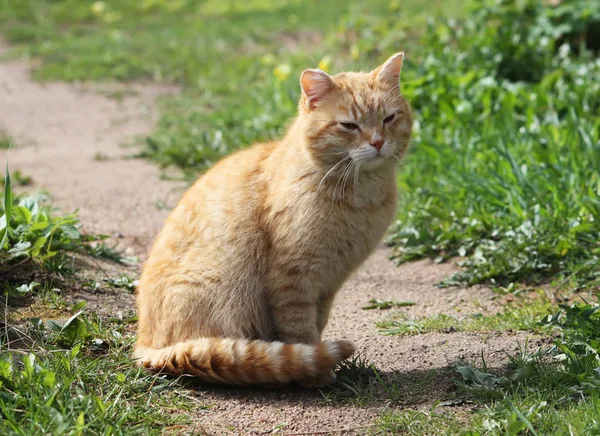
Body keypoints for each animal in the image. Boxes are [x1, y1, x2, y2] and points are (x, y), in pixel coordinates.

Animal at [134, 52, 410, 386]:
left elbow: (317, 324)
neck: (361, 197)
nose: (378, 142)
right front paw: (314, 374)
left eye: (389, 118)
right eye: (349, 125)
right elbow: (300, 330)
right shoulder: (293, 277)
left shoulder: (328, 284)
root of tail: (144, 345)